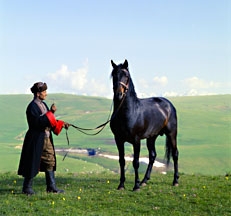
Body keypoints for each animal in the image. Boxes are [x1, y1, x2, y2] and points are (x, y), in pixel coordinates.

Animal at [109, 59, 179, 191]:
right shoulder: (118, 139)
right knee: (152, 156)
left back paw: (175, 181)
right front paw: (121, 185)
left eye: (126, 76)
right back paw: (144, 181)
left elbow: (136, 162)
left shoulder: (136, 140)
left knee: (175, 154)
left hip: (172, 134)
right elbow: (122, 161)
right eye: (114, 75)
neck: (129, 112)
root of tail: (169, 105)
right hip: (152, 137)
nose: (119, 94)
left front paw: (136, 186)